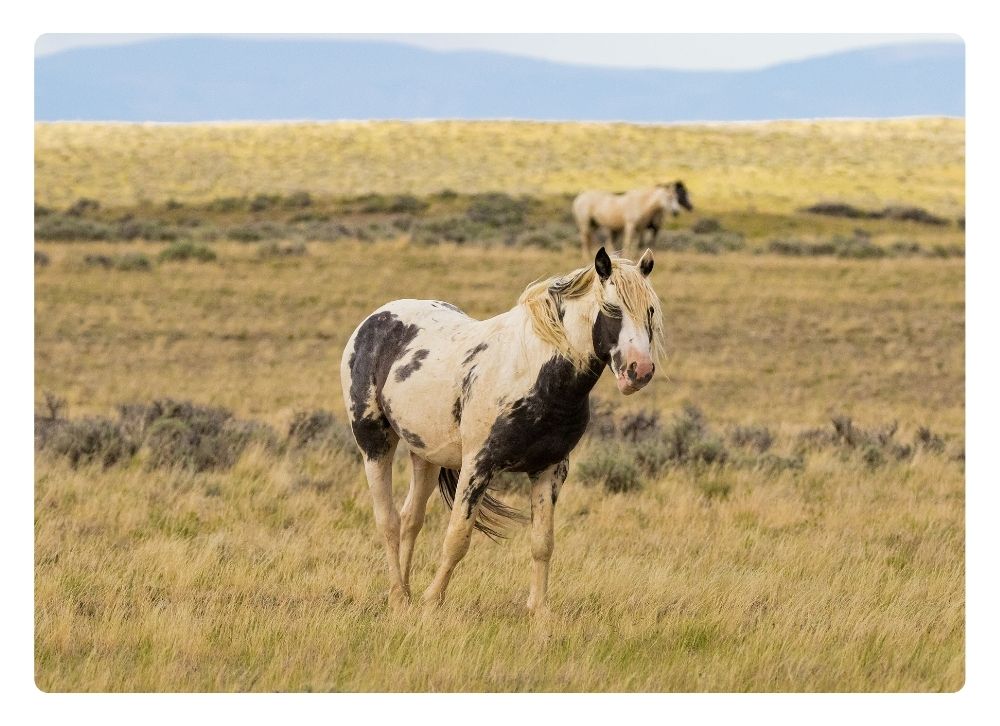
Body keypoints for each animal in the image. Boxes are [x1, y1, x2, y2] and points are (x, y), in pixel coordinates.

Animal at [342, 247, 664, 616]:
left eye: (650, 310)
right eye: (612, 309)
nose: (640, 370)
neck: (534, 373)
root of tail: (375, 320)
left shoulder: (550, 469)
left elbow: (542, 543)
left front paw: (539, 612)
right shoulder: (478, 466)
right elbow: (457, 538)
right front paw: (432, 602)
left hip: (425, 453)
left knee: (411, 519)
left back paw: (406, 595)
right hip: (374, 444)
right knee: (388, 521)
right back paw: (397, 597)